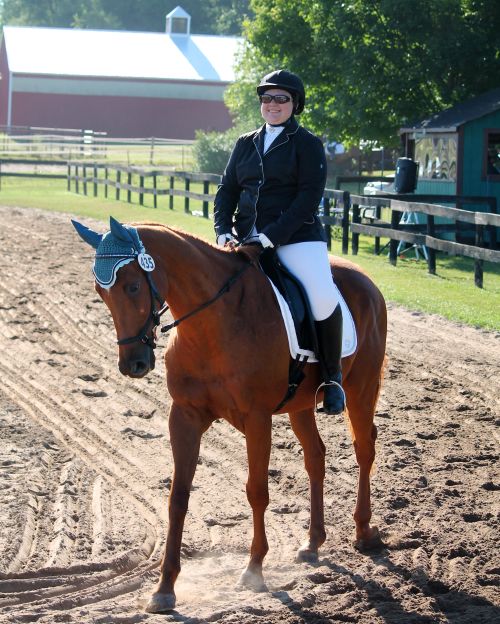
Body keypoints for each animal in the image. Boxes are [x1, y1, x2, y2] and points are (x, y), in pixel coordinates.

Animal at [73, 217, 386, 612]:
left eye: (132, 286)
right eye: (101, 293)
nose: (134, 365)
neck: (212, 323)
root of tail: (367, 280)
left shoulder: (257, 418)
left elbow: (257, 491)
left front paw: (253, 570)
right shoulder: (184, 416)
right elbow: (178, 497)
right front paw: (164, 588)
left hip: (361, 389)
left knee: (364, 448)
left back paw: (364, 530)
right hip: (301, 407)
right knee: (316, 457)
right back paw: (312, 542)